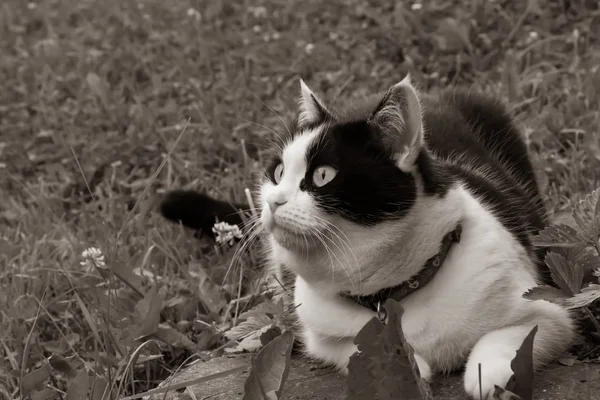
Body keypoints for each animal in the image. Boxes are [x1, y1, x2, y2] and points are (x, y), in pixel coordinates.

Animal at [162, 76, 576, 398]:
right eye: (278, 172)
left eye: (323, 176)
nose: (273, 200)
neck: (391, 291)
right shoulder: (318, 333)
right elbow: (352, 350)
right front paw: (407, 363)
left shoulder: (549, 306)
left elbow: (509, 339)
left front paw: (487, 376)